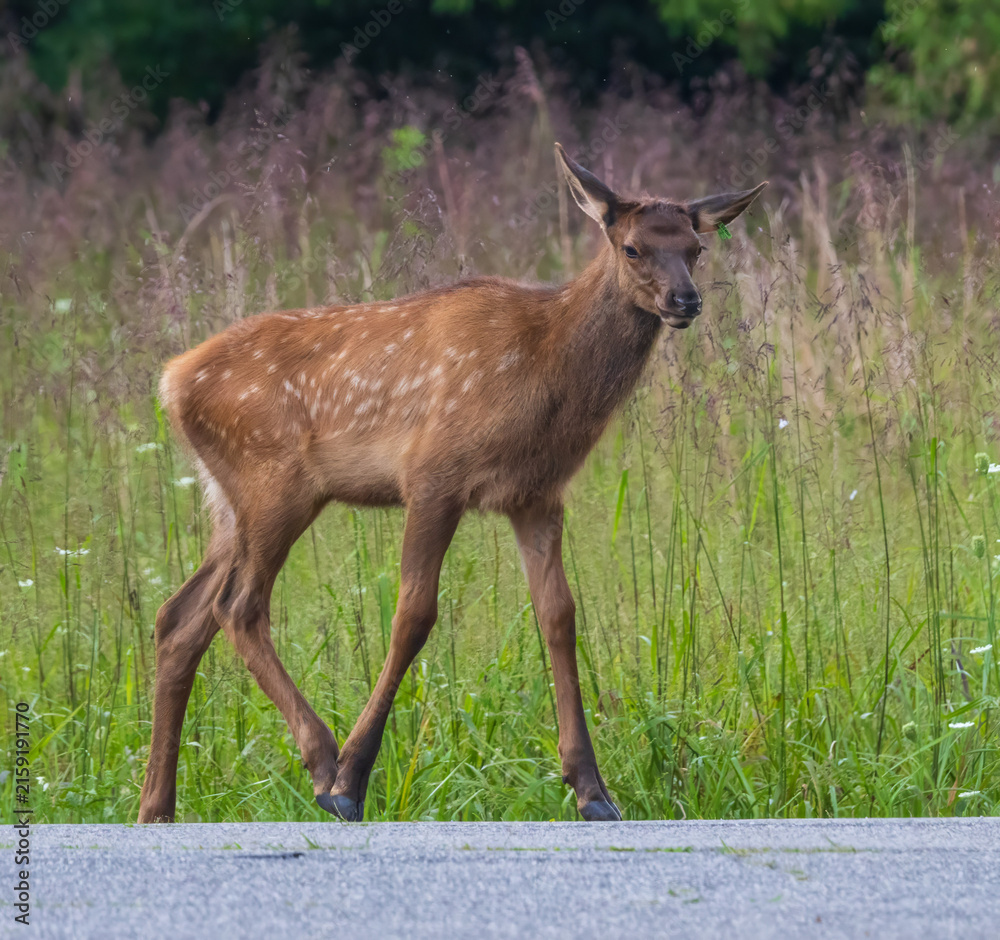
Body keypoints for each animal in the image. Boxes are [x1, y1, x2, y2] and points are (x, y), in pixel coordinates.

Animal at [138, 143, 765, 824]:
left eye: (696, 248)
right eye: (631, 248)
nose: (685, 300)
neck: (547, 375)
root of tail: (172, 381)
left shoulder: (537, 494)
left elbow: (559, 614)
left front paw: (592, 790)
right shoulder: (434, 474)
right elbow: (414, 613)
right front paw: (353, 778)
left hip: (232, 502)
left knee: (180, 616)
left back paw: (156, 808)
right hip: (275, 482)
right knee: (237, 606)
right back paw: (323, 761)